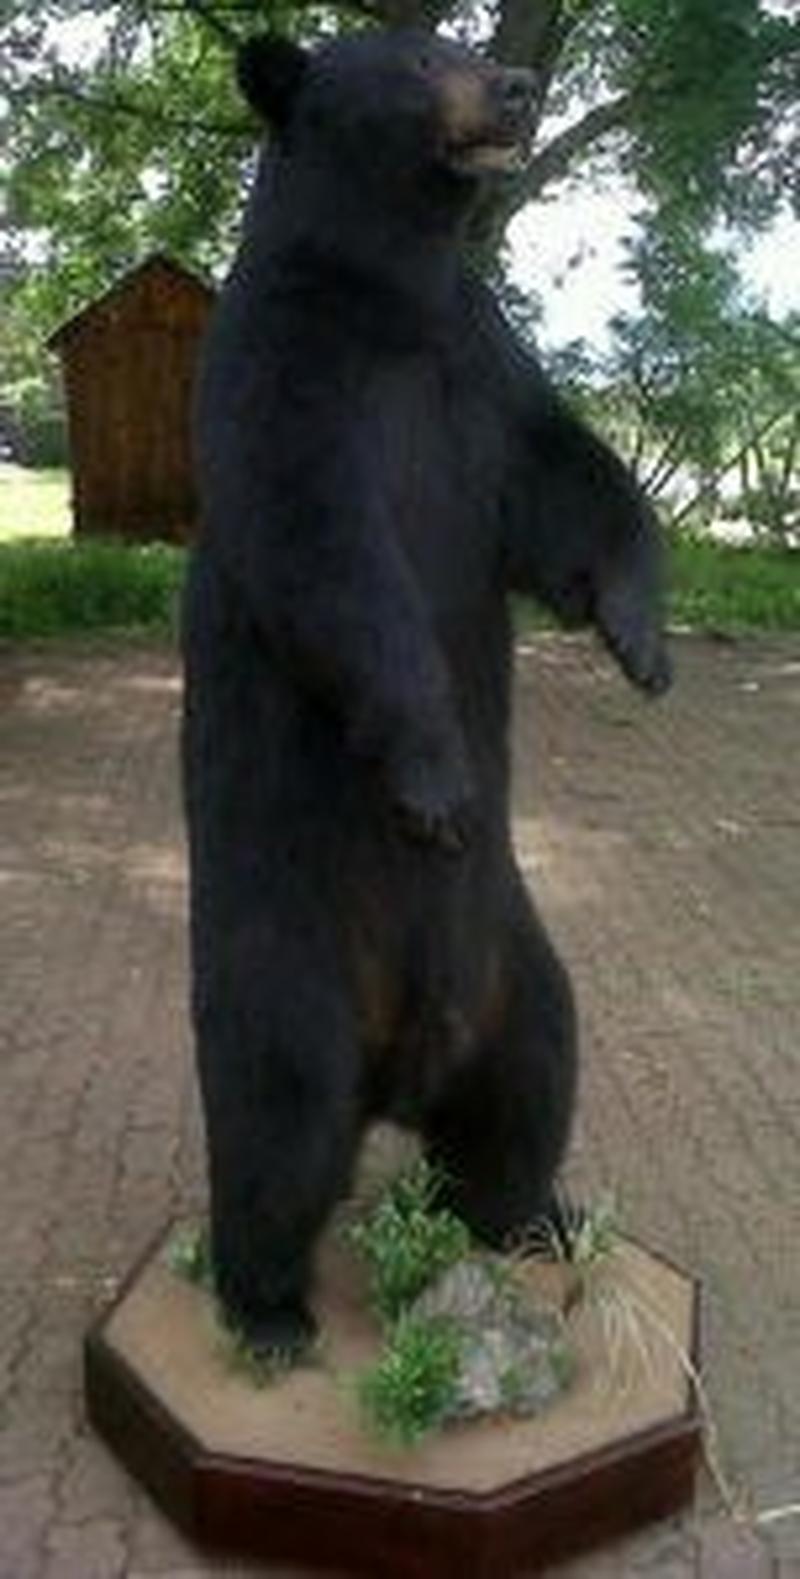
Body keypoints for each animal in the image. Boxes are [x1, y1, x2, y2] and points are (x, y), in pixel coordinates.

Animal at [183, 27, 671, 1357]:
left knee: (529, 1086)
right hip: (283, 960)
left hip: (520, 966)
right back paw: (266, 1307)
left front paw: (639, 638)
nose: (516, 85)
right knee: (278, 1121)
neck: (387, 294)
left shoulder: (479, 363)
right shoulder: (280, 370)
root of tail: (400, 1066)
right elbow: (329, 553)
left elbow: (566, 478)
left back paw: (530, 1219)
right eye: (411, 62)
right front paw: (437, 783)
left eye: (462, 40)